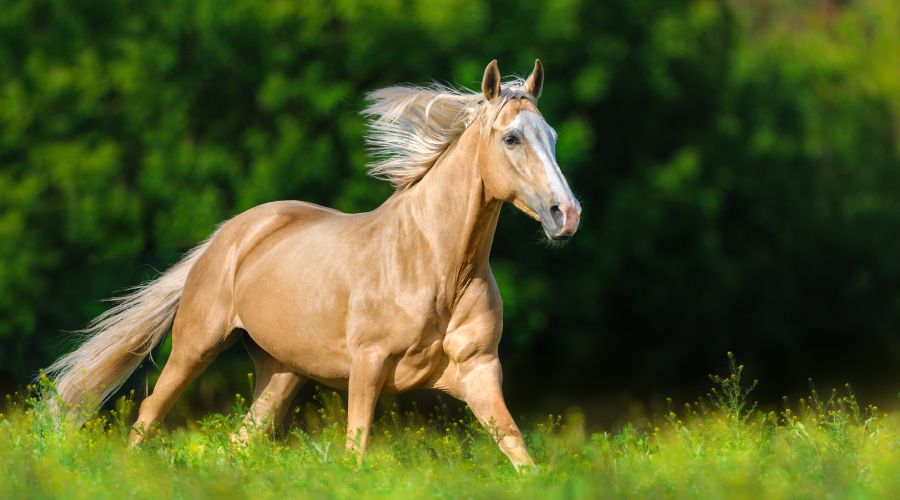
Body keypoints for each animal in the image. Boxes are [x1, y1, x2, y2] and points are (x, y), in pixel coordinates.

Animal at [45, 59, 581, 470]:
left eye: (553, 135)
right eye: (511, 138)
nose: (566, 214)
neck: (437, 268)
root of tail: (229, 234)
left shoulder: (479, 371)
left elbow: (519, 452)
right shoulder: (368, 366)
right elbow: (355, 451)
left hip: (281, 372)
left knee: (240, 439)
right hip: (195, 346)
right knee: (149, 415)